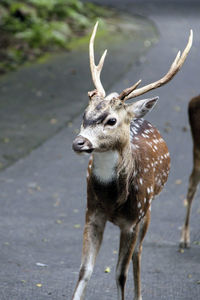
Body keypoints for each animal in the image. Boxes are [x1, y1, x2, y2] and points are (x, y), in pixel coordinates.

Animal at [71, 21, 192, 300]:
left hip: (148, 209)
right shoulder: (92, 212)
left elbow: (120, 274)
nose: (79, 142)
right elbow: (84, 271)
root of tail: (140, 117)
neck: (114, 200)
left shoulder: (132, 220)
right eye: (84, 115)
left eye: (111, 120)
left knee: (138, 253)